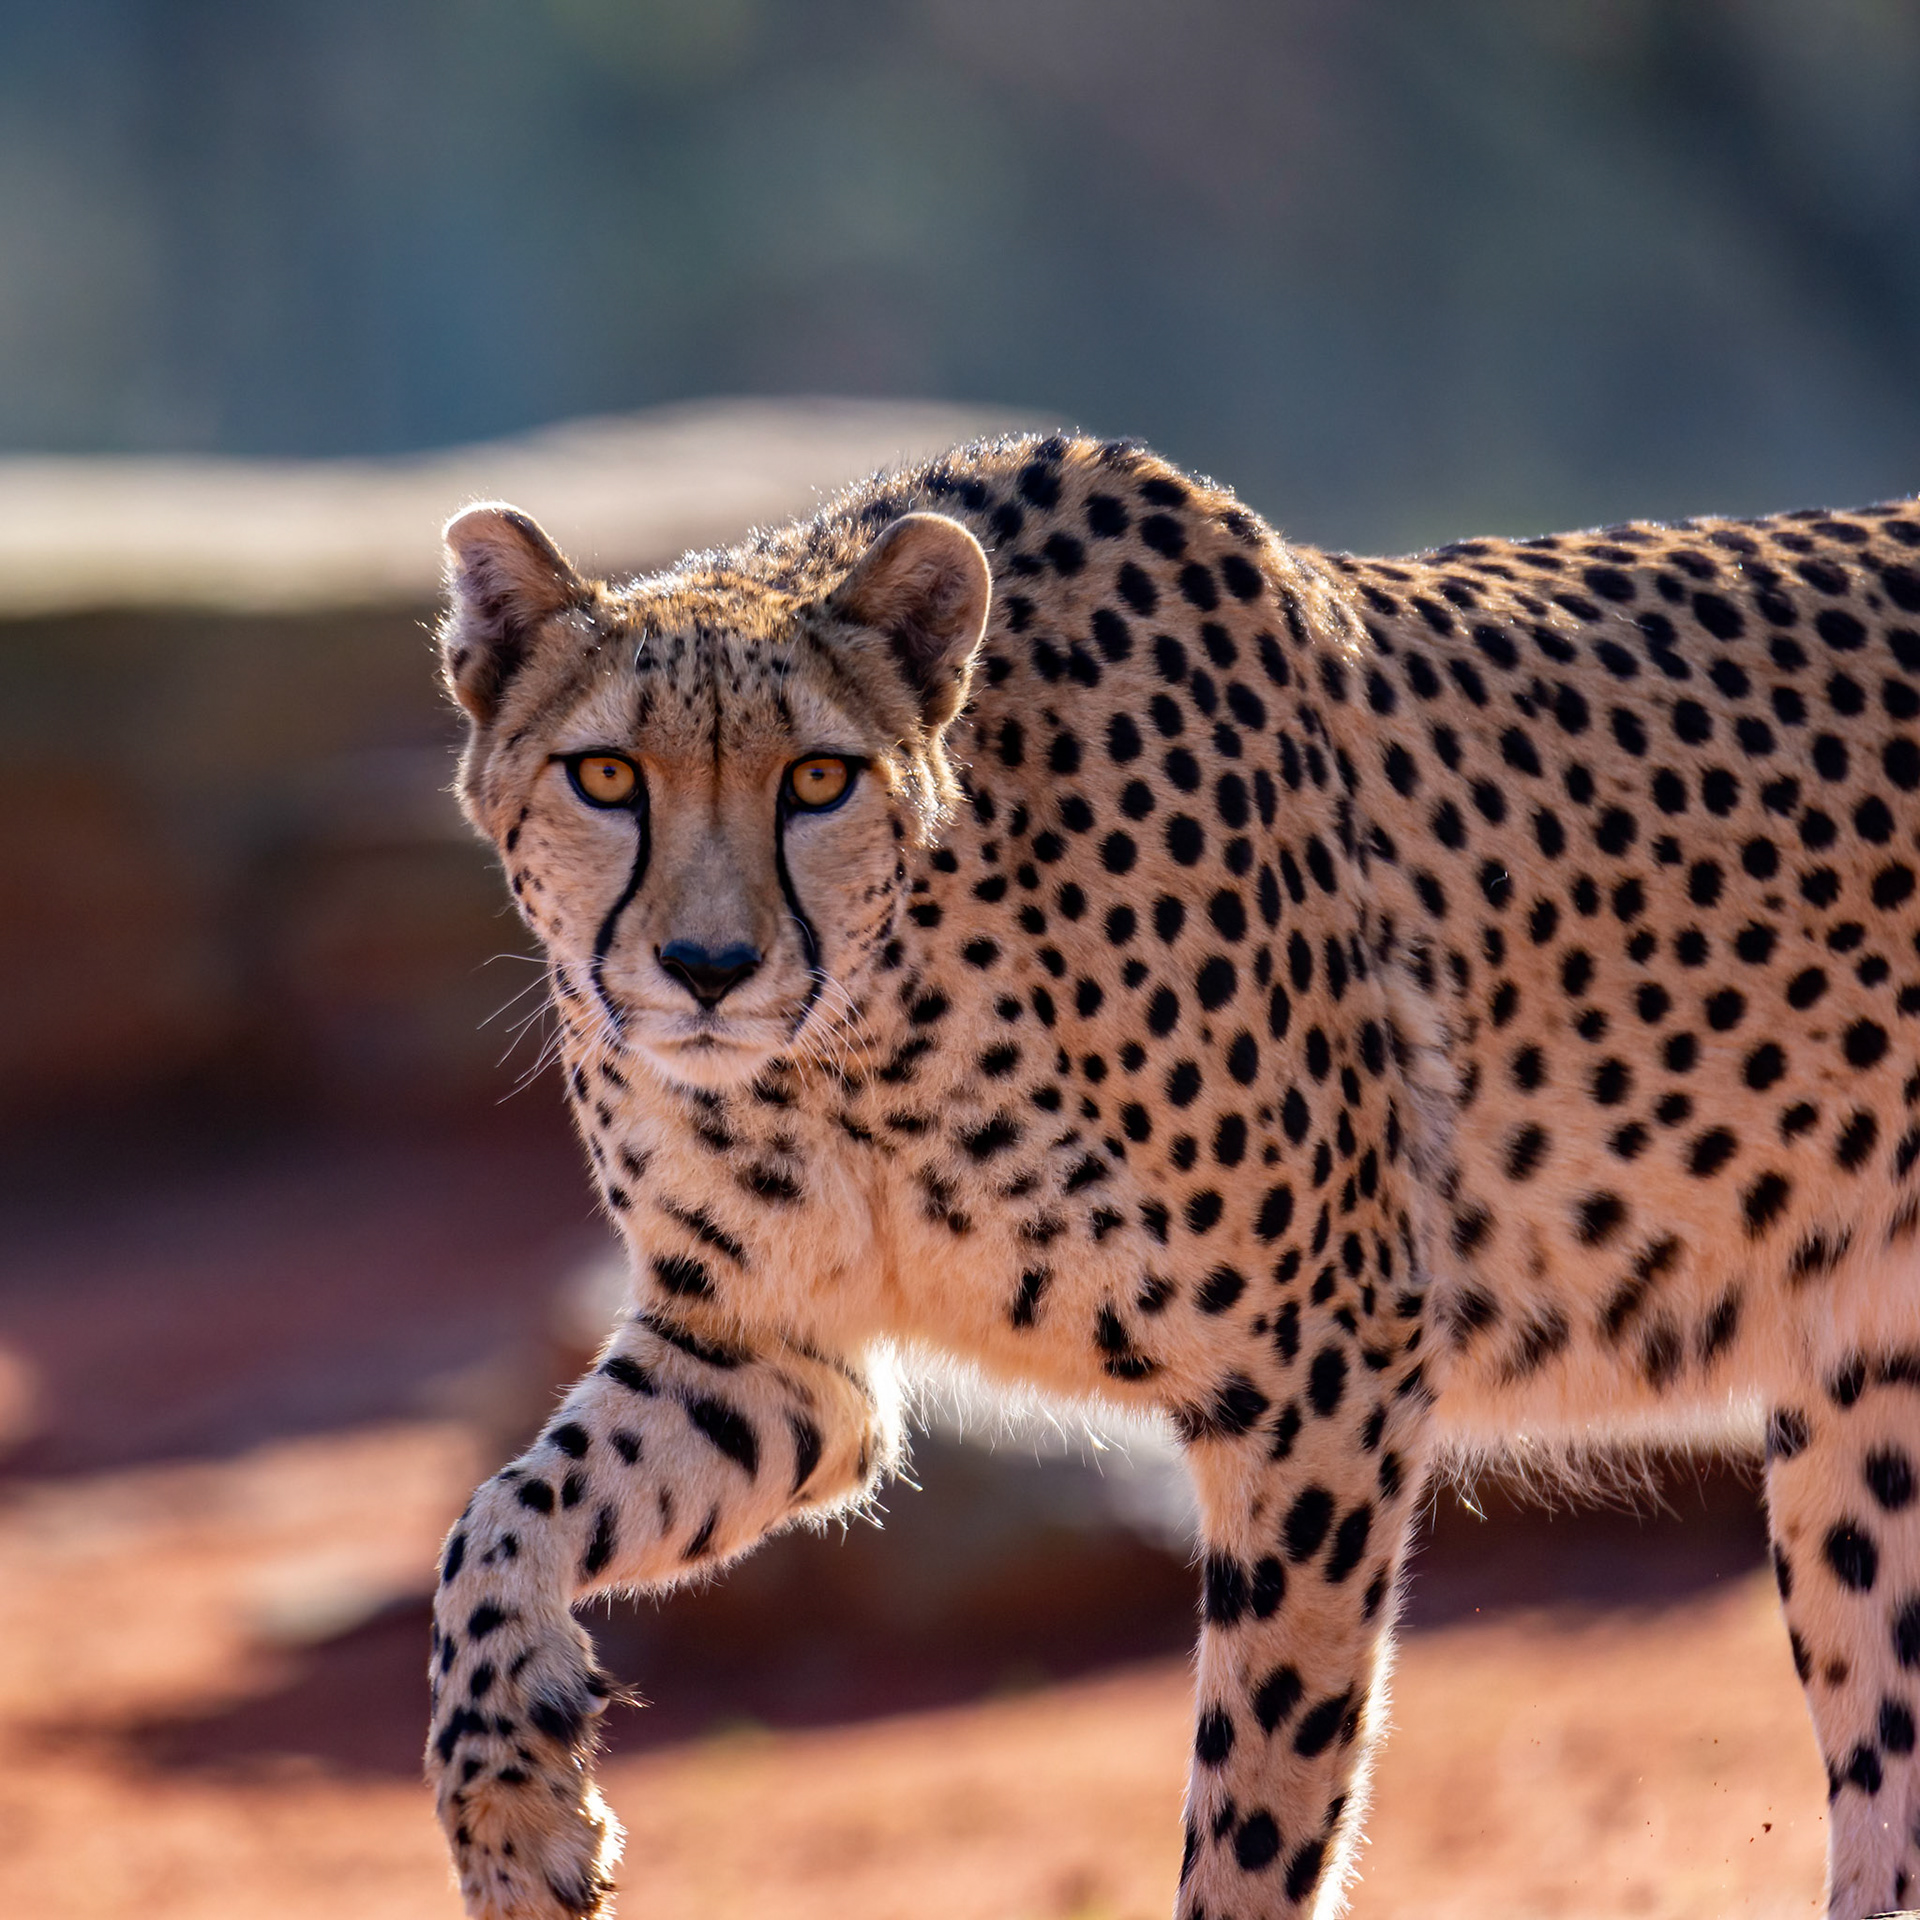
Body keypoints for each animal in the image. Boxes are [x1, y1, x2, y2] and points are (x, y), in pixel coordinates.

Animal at [425, 430, 1920, 1920]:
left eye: (819, 781)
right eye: (606, 777)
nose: (709, 968)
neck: (864, 1045)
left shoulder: (1328, 1365)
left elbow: (1264, 1780)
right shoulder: (766, 1353)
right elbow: (495, 1524)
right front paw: (514, 1810)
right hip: (1864, 1413)